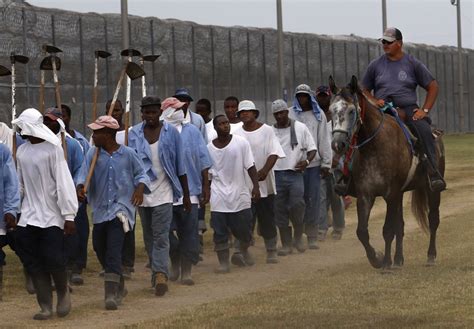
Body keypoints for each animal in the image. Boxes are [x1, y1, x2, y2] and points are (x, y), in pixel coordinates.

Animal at [328, 75, 442, 270]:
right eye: (330, 110)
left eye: (351, 111)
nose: (338, 144)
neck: (375, 146)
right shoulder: (366, 195)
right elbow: (362, 232)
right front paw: (378, 259)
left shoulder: (390, 194)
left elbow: (388, 230)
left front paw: (386, 263)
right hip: (400, 194)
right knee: (401, 226)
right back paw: (398, 260)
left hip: (431, 190)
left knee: (433, 220)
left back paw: (431, 256)